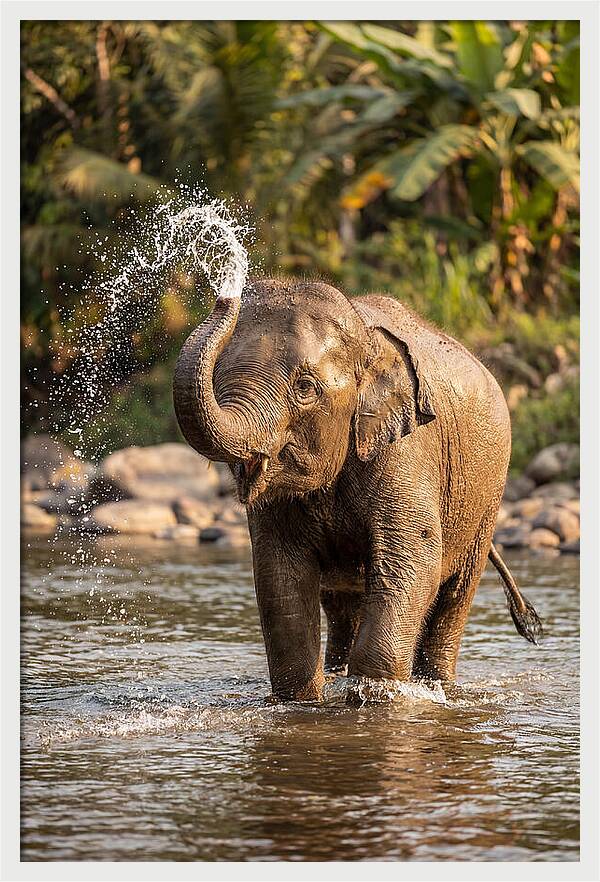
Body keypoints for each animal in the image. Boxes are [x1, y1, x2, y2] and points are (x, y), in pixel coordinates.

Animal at [173, 278, 542, 701]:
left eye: (305, 388)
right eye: (217, 378)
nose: (225, 295)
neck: (366, 339)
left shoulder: (407, 451)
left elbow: (413, 559)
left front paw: (373, 695)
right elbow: (279, 574)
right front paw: (304, 700)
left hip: (486, 498)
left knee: (454, 595)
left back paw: (437, 684)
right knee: (341, 603)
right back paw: (338, 672)